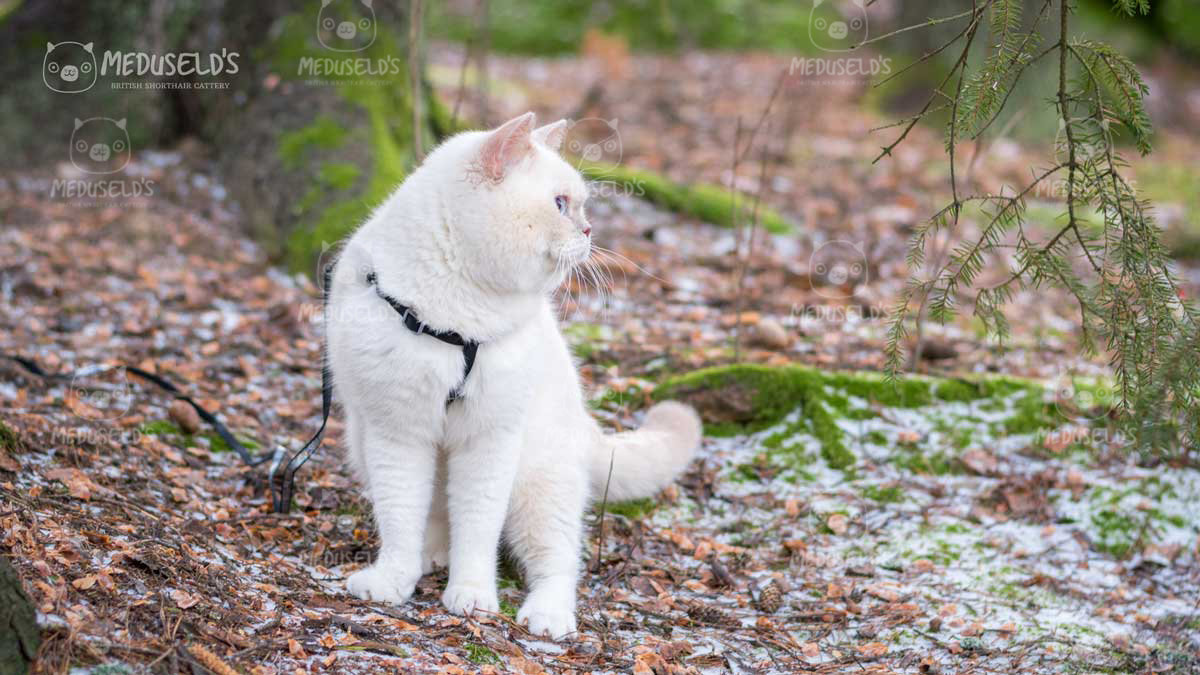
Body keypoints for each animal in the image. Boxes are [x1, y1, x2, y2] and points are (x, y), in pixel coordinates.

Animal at [326, 110, 700, 634]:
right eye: (561, 205)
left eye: (580, 206)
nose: (589, 231)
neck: (459, 310)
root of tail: (584, 423)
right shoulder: (397, 435)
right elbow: (401, 518)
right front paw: (393, 581)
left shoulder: (490, 441)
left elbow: (478, 530)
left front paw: (473, 596)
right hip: (365, 444)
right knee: (435, 519)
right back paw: (432, 557)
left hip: (537, 489)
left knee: (559, 564)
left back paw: (546, 616)